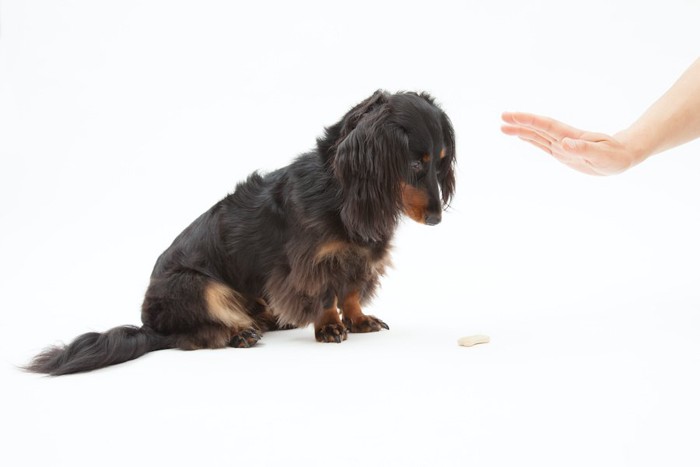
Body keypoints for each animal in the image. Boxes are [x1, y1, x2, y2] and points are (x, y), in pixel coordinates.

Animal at [24, 90, 456, 376]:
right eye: (414, 165)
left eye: (439, 162)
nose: (437, 218)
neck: (344, 191)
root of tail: (149, 324)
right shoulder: (310, 263)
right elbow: (324, 294)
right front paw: (330, 325)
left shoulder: (359, 258)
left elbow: (349, 291)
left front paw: (358, 318)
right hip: (195, 284)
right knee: (188, 336)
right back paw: (238, 334)